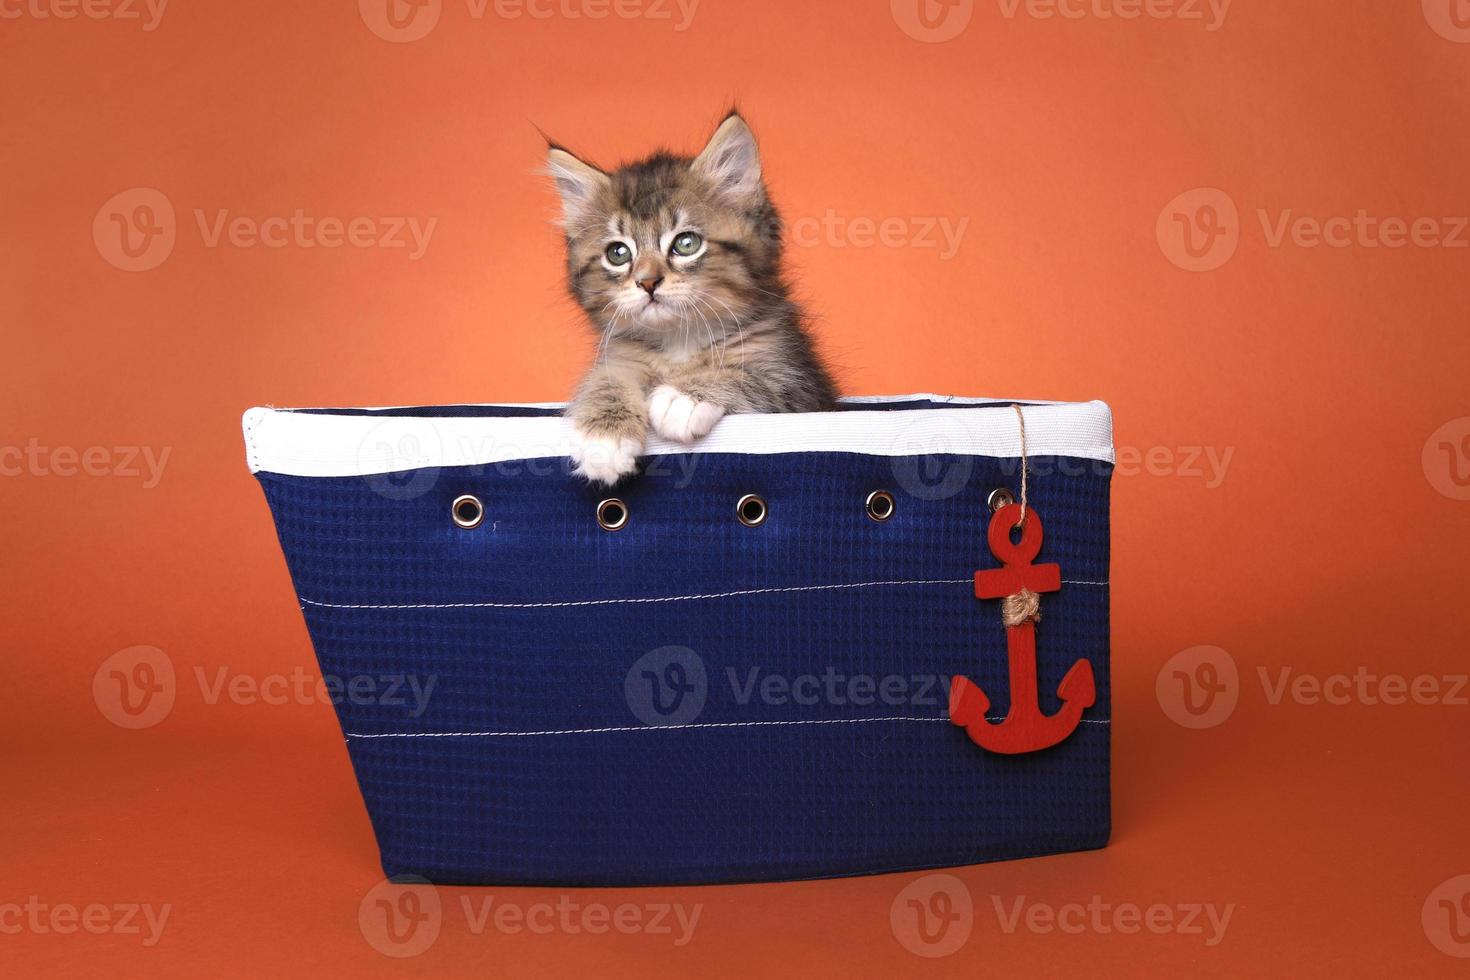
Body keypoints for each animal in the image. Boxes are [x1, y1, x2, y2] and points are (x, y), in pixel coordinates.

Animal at [546, 112, 840, 487]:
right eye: (618, 253)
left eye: (686, 244)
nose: (647, 282)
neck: (679, 341)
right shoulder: (620, 357)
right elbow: (605, 379)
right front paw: (603, 438)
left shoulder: (803, 387)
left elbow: (746, 374)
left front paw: (682, 396)